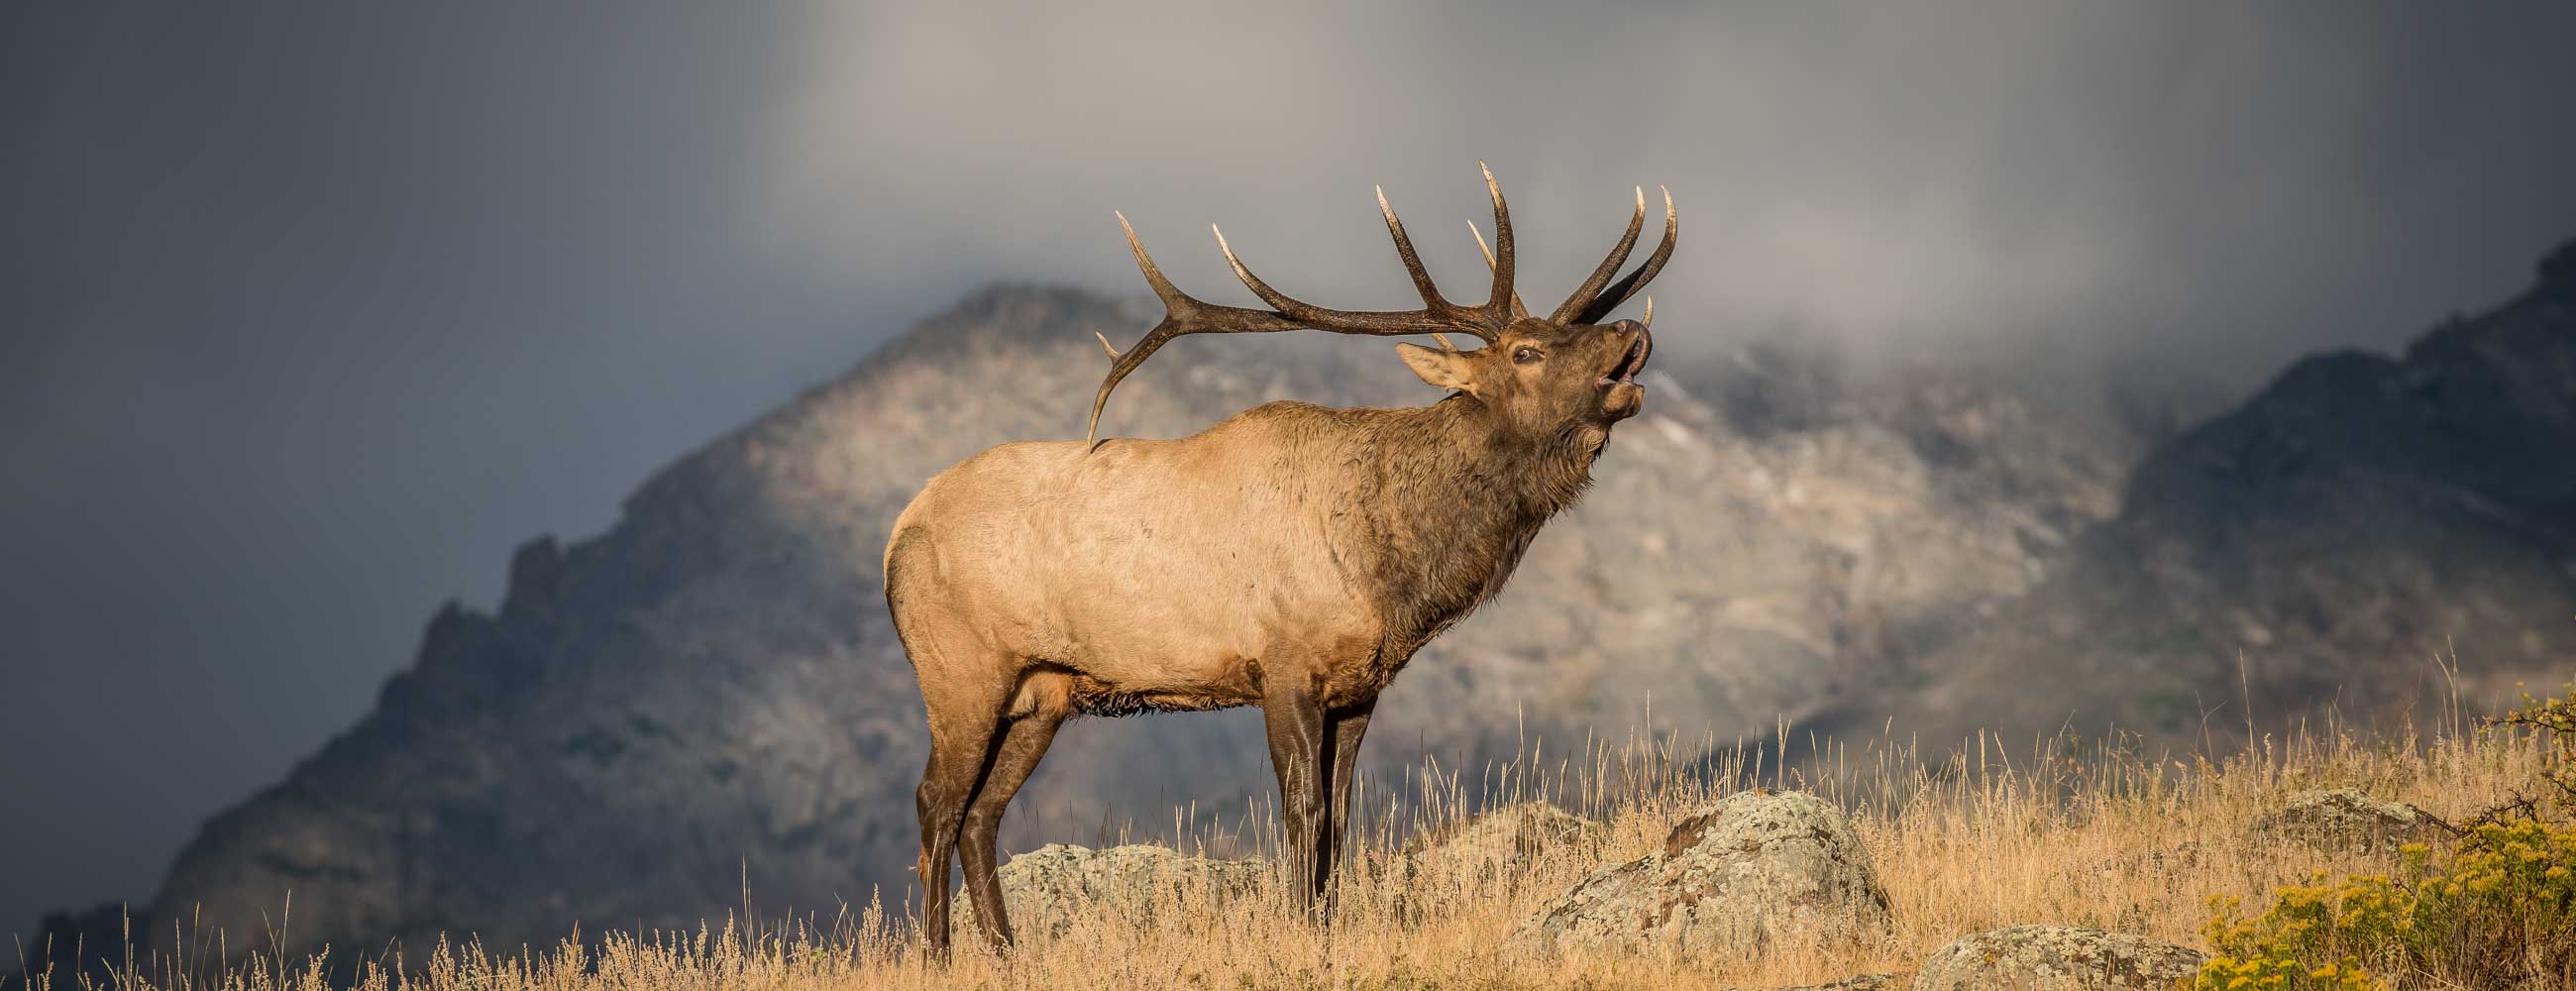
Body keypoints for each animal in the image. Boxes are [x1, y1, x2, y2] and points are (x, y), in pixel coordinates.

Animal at [882, 164, 1673, 954]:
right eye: (1525, 351)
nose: (1631, 329)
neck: (1391, 571)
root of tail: (896, 536)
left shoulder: (1359, 685)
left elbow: (1341, 818)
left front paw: (1326, 924)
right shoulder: (1284, 663)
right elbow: (1302, 811)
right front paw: (1299, 929)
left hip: (1041, 693)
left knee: (982, 815)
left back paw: (1006, 951)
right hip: (959, 672)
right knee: (935, 803)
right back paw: (939, 956)